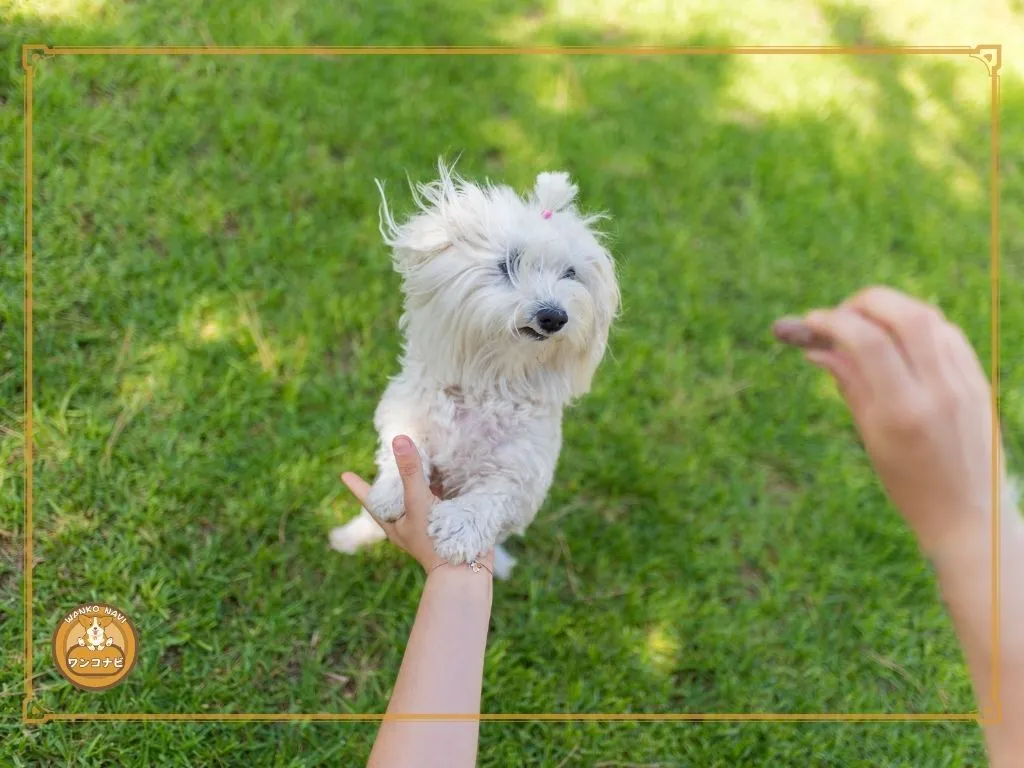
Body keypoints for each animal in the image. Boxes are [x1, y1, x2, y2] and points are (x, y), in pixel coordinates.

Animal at [329, 160, 614, 577]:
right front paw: (391, 495)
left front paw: (461, 529)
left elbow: (493, 496)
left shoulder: (523, 474)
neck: (492, 378)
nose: (554, 317)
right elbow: (403, 451)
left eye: (571, 274)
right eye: (509, 263)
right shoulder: (404, 417)